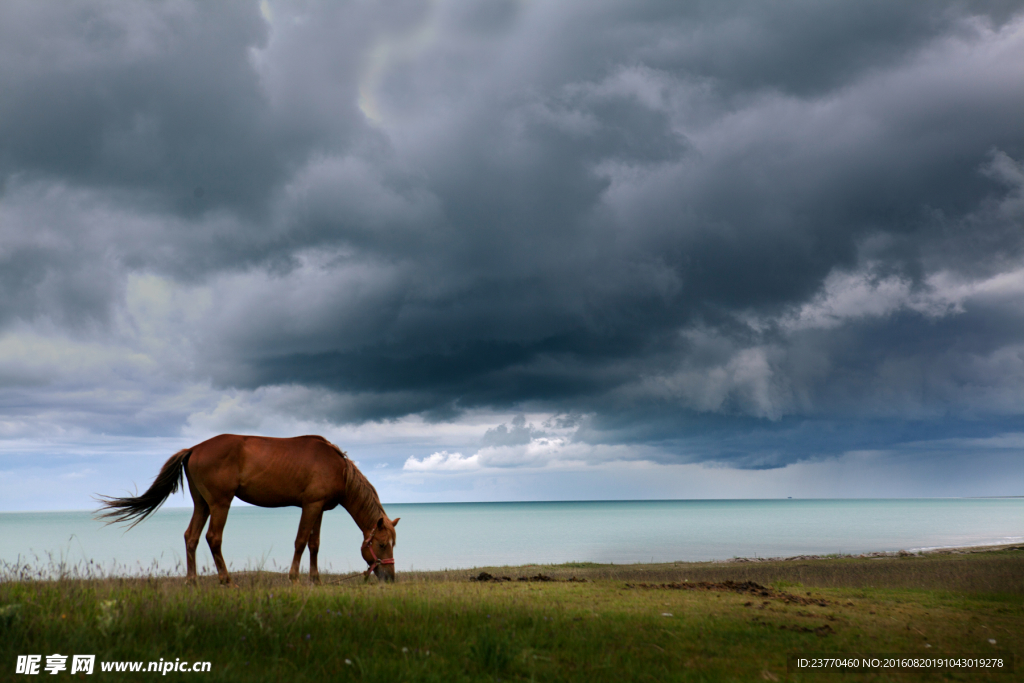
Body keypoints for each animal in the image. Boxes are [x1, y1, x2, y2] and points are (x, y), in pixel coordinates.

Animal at [95, 436, 399, 585]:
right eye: (382, 544)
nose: (391, 578)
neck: (336, 466)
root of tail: (194, 448)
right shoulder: (310, 506)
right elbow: (301, 542)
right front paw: (294, 577)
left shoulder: (319, 509)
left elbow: (314, 544)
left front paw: (315, 578)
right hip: (220, 503)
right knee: (213, 539)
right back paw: (225, 579)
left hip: (202, 504)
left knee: (191, 537)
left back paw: (192, 581)